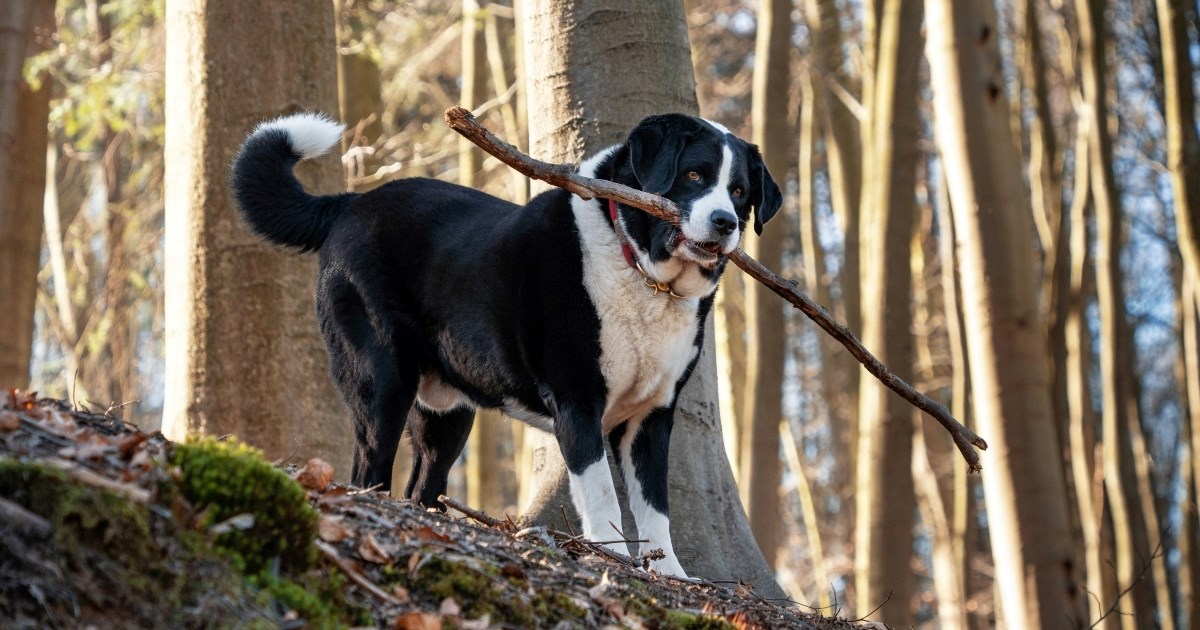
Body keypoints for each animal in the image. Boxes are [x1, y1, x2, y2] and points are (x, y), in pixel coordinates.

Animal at [229, 109, 782, 573]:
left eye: (739, 192)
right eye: (694, 176)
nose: (725, 223)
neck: (640, 270)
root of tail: (351, 203)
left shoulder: (651, 416)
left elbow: (655, 511)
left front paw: (672, 578)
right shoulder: (578, 402)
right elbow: (602, 496)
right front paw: (614, 562)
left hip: (447, 414)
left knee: (422, 485)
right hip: (380, 382)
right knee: (368, 470)